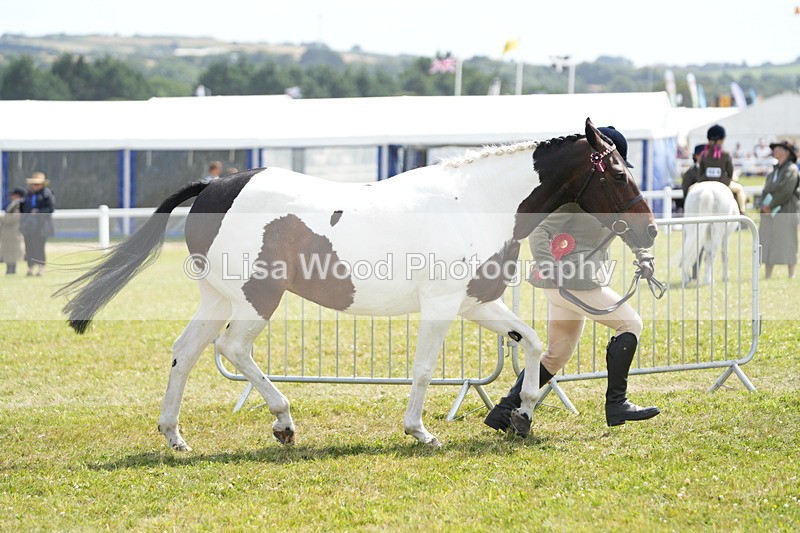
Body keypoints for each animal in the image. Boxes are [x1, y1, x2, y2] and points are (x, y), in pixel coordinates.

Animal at [55, 118, 657, 450]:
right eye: (616, 171)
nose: (650, 230)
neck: (471, 203)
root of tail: (215, 185)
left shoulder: (477, 302)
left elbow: (530, 343)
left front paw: (523, 415)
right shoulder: (441, 305)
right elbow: (423, 368)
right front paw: (421, 432)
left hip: (218, 297)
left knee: (186, 350)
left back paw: (175, 436)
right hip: (257, 299)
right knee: (233, 349)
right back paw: (283, 422)